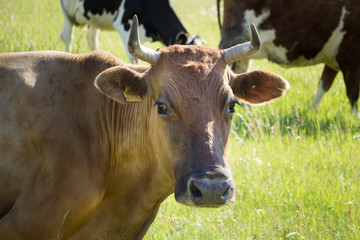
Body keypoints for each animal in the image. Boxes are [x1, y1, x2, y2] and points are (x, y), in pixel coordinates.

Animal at [60, 0, 204, 62]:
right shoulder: (124, 25)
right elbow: (133, 59)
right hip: (68, 12)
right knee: (67, 37)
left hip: (94, 19)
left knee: (92, 42)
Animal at [218, 0, 360, 117]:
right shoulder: (351, 58)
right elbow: (352, 95)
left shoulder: (335, 61)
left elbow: (324, 84)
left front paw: (311, 112)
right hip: (235, 35)